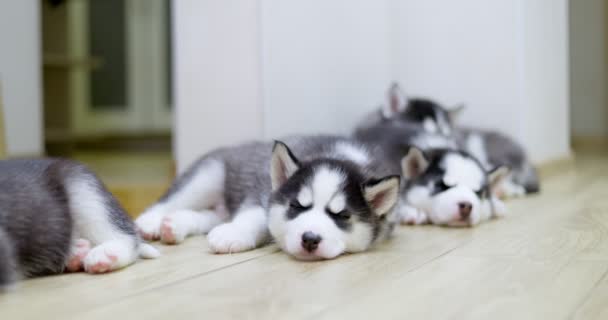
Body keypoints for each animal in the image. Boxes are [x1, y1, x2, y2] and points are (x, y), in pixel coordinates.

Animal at [138, 136, 404, 262]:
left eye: (342, 215)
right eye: (296, 206)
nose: (310, 239)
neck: (339, 154)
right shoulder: (262, 192)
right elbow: (254, 216)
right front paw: (234, 233)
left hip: (217, 207)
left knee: (207, 216)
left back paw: (174, 226)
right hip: (208, 175)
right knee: (171, 200)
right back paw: (150, 223)